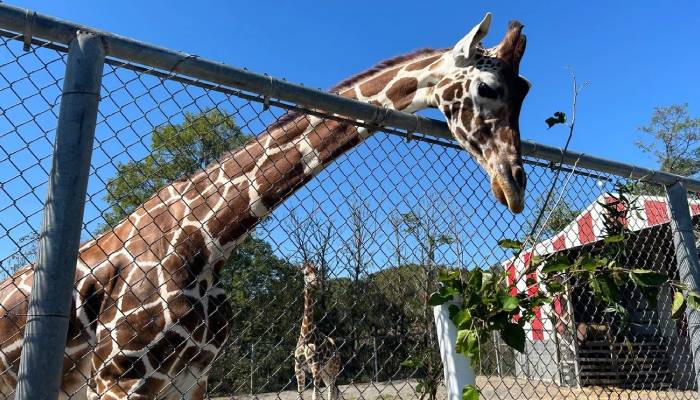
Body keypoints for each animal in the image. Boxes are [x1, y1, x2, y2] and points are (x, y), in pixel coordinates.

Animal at [294, 263, 340, 400]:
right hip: (325, 372)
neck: (306, 334)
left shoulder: (315, 366)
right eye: (306, 273)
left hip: (333, 369)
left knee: (332, 390)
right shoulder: (298, 368)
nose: (316, 283)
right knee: (333, 389)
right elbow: (299, 395)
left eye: (317, 271)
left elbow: (316, 395)